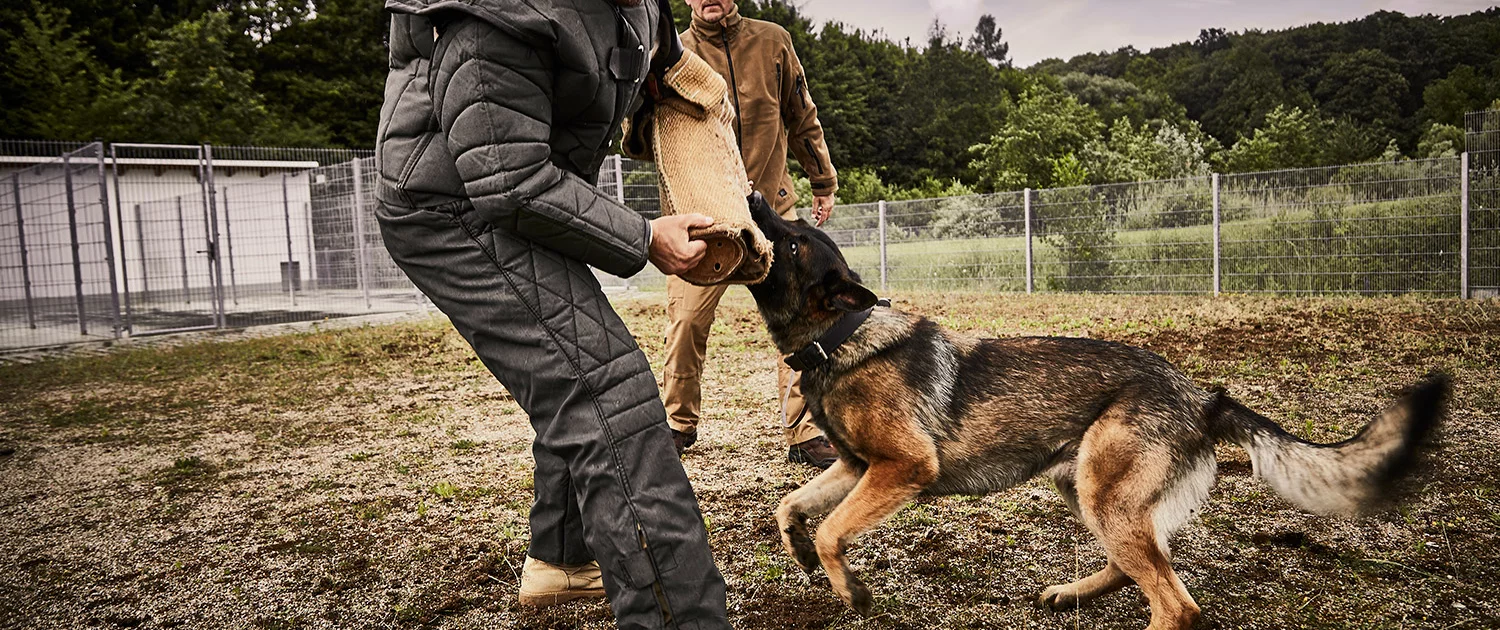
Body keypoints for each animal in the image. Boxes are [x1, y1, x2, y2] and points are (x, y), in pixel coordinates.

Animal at [744, 195, 1446, 627]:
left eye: (795, 240)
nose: (751, 196)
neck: (839, 337)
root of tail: (1201, 395)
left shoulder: (902, 469)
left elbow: (833, 529)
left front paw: (849, 587)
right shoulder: (855, 468)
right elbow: (791, 507)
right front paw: (803, 554)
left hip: (1102, 492)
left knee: (1176, 606)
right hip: (1085, 487)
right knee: (1135, 568)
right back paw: (1069, 593)